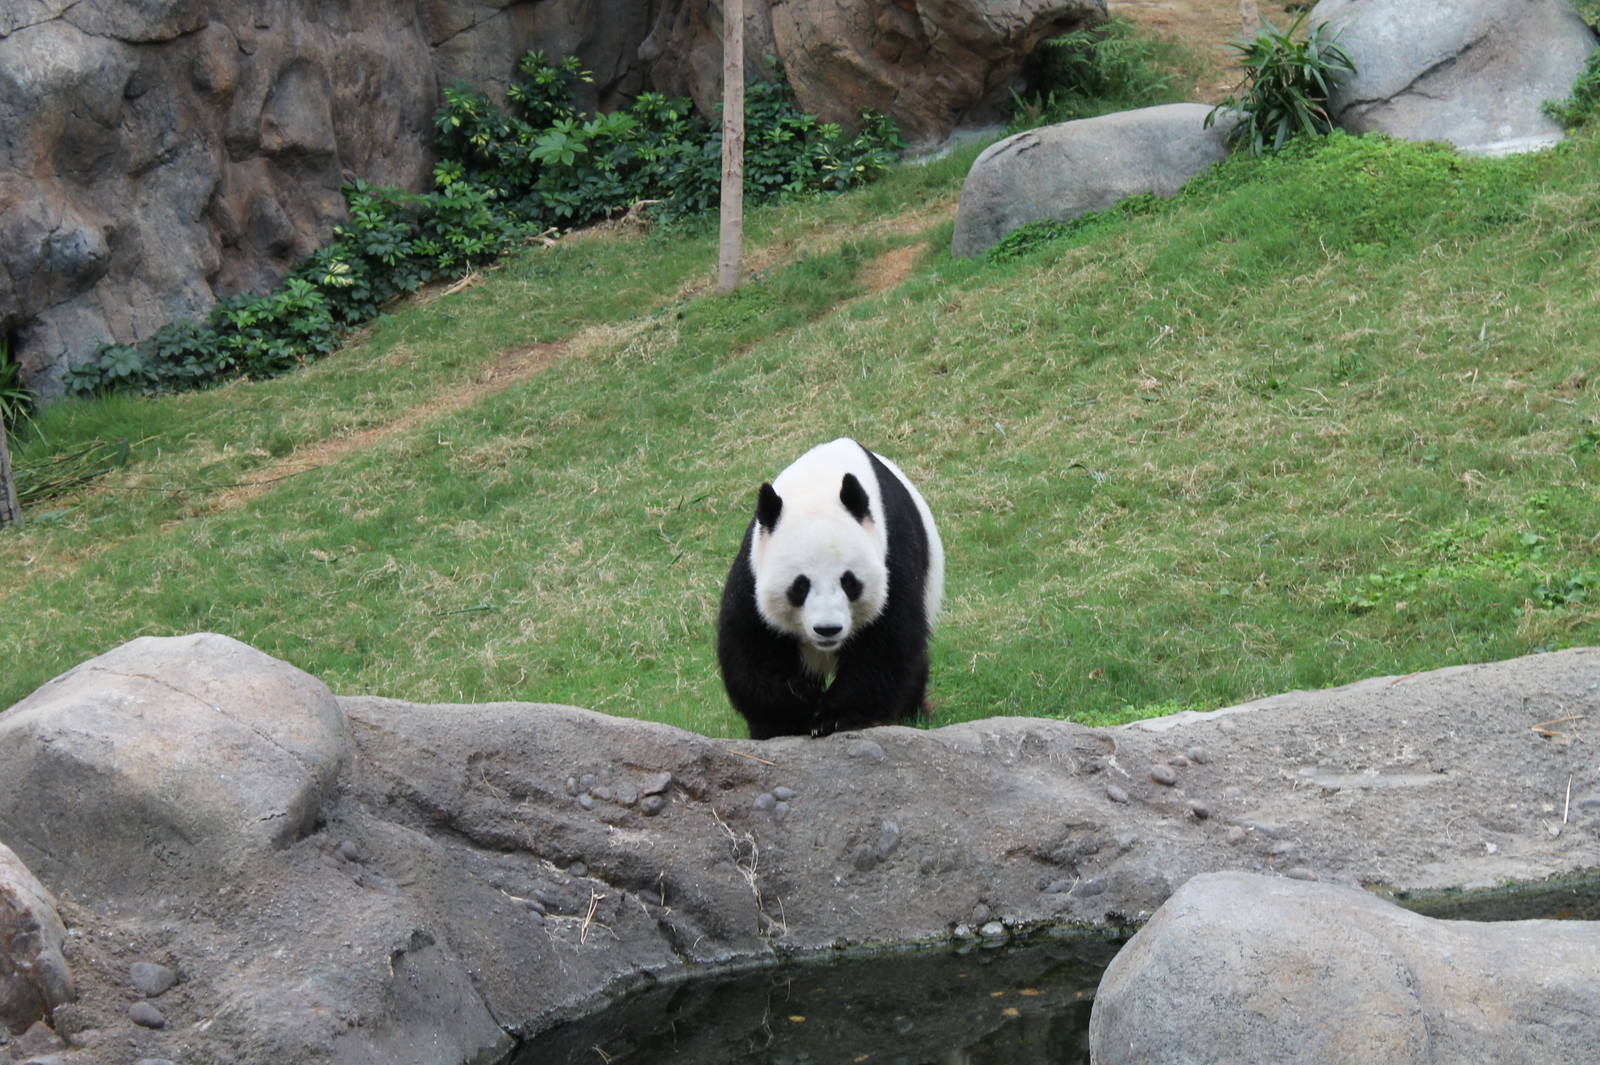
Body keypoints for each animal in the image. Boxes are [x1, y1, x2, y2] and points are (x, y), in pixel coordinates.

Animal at [716, 438, 944, 739]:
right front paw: (796, 708)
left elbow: (886, 643)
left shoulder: (892, 553)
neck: (819, 486)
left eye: (849, 582)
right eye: (800, 586)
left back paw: (913, 712)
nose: (828, 629)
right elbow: (749, 650)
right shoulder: (753, 566)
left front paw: (836, 718)